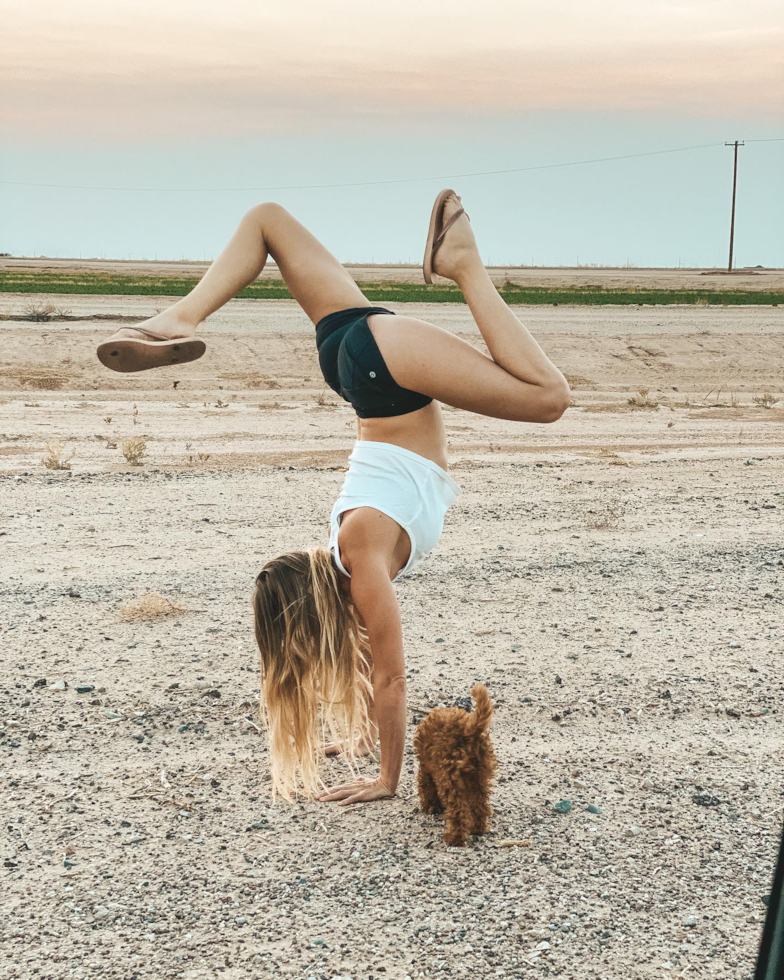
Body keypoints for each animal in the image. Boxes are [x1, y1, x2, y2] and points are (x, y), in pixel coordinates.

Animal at [414, 684, 500, 848]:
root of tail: (469, 730)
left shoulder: (427, 770)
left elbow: (427, 788)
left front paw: (430, 807)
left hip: (451, 777)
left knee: (458, 812)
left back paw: (454, 839)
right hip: (481, 775)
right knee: (480, 805)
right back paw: (478, 829)